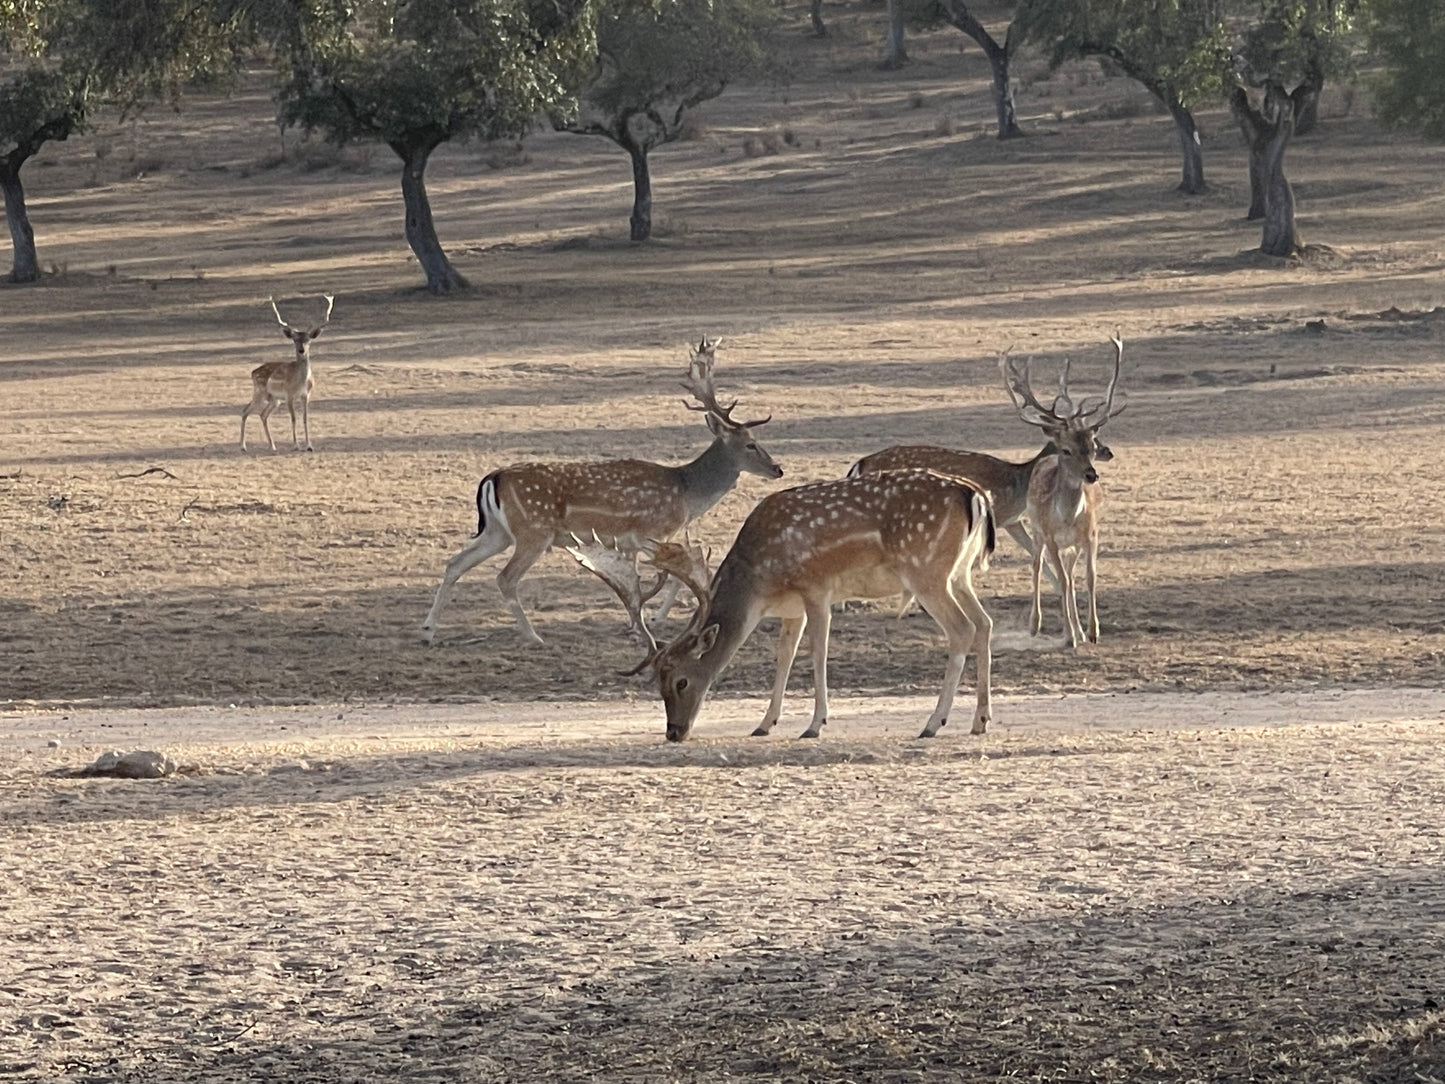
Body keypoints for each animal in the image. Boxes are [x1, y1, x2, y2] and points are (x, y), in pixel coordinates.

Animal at [241, 293, 333, 453]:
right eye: (295, 340)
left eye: (308, 340)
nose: (301, 350)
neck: (301, 381)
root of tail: (253, 372)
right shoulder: (289, 395)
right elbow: (293, 418)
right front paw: (296, 445)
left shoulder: (306, 395)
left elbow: (305, 418)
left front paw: (309, 446)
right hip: (260, 393)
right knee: (245, 411)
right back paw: (243, 446)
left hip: (274, 399)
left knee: (263, 414)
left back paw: (272, 446)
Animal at [421, 339, 780, 644]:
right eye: (751, 444)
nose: (778, 469)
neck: (686, 494)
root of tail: (493, 477)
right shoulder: (649, 531)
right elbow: (673, 576)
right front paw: (653, 622)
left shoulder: (632, 541)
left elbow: (642, 579)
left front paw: (638, 623)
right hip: (533, 531)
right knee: (505, 578)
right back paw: (532, 636)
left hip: (499, 532)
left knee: (455, 563)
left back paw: (428, 630)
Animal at [627, 471, 999, 745]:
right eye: (657, 683)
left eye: (681, 681)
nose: (673, 732)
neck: (760, 584)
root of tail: (976, 495)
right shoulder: (792, 608)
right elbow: (784, 656)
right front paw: (765, 723)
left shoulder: (816, 589)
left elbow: (817, 654)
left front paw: (815, 724)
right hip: (959, 573)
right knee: (984, 623)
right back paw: (980, 719)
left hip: (925, 570)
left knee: (962, 628)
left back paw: (933, 723)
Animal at [1005, 335, 1127, 650]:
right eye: (1067, 450)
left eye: (1092, 446)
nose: (1091, 475)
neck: (1069, 518)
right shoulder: (1050, 537)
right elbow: (1059, 578)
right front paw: (1071, 635)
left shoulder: (1091, 536)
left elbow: (1089, 578)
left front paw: (1092, 631)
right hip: (1037, 532)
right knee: (1037, 565)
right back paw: (1037, 625)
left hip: (1070, 546)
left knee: (1069, 576)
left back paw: (1076, 630)